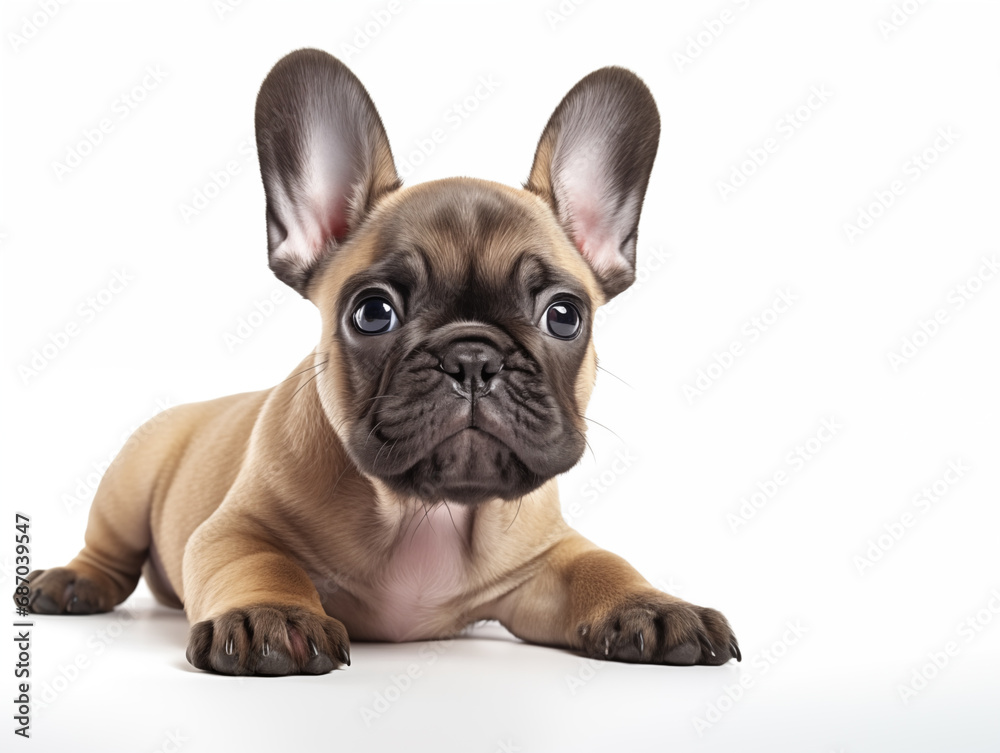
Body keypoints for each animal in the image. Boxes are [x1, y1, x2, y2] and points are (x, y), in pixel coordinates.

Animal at [11, 51, 740, 676]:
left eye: (564, 315)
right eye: (372, 312)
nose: (472, 357)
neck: (427, 509)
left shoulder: (547, 557)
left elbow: (602, 564)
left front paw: (653, 605)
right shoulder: (234, 529)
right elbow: (257, 563)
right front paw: (268, 615)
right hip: (129, 481)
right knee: (107, 547)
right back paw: (71, 580)